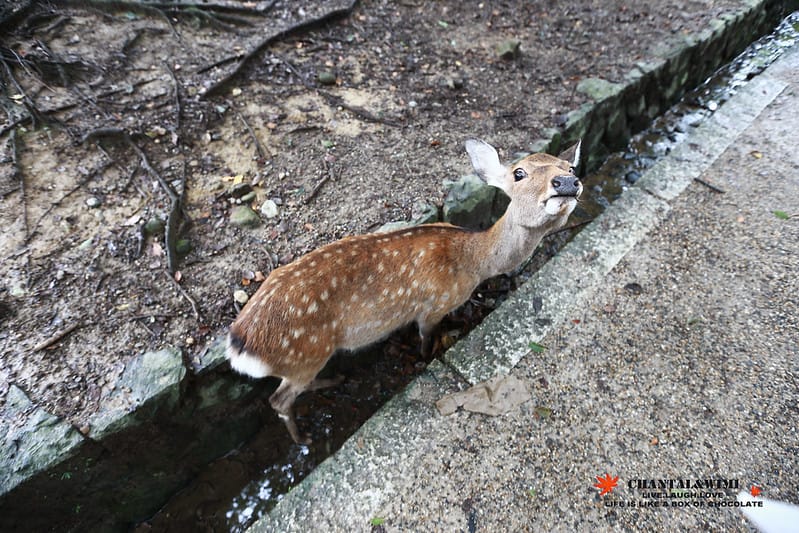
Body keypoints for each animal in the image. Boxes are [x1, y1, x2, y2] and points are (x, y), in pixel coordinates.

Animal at [226, 139, 583, 444]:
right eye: (518, 173)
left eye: (570, 166)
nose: (567, 182)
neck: (473, 263)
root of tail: (240, 343)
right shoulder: (433, 305)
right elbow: (425, 338)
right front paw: (426, 357)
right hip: (305, 353)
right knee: (278, 399)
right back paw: (303, 439)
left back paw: (334, 381)